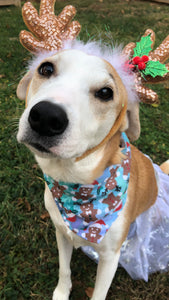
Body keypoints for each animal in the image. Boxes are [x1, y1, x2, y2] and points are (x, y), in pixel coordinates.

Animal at [16, 44, 169, 300]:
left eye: (106, 92)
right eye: (46, 68)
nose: (46, 116)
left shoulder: (110, 258)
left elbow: (99, 293)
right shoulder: (61, 232)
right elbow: (64, 269)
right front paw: (61, 292)